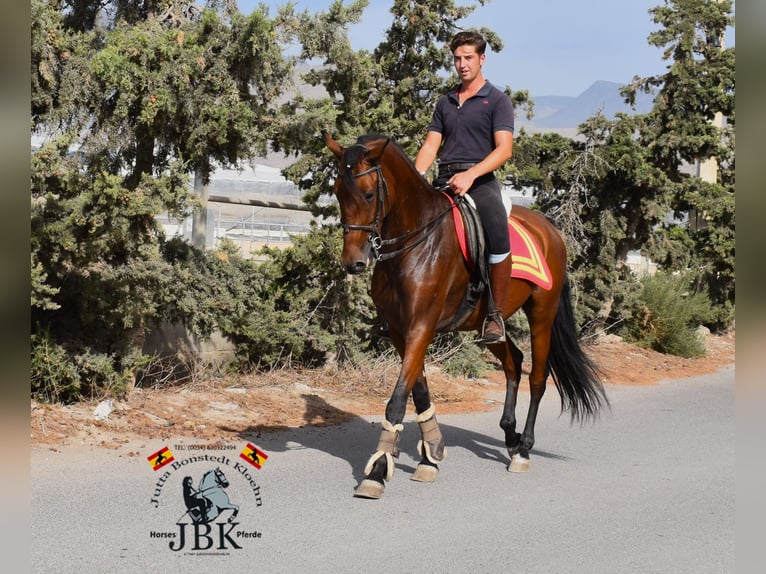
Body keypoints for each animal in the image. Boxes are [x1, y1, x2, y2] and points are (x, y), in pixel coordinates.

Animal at [322, 132, 608, 500]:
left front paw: (379, 469)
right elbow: (419, 392)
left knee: (537, 377)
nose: (353, 262)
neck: (417, 241)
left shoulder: (421, 327)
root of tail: (550, 230)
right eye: (337, 192)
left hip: (542, 314)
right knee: (513, 361)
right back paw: (511, 436)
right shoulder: (402, 332)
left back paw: (524, 449)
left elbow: (398, 399)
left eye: (369, 193)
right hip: (490, 324)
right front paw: (431, 455)